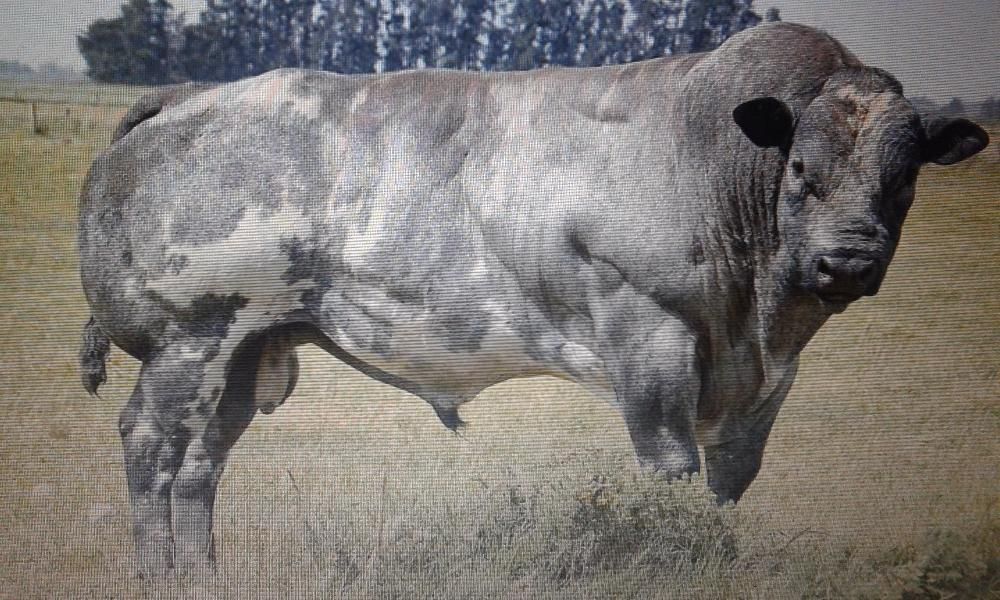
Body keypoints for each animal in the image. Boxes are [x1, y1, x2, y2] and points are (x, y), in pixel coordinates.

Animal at [76, 23, 984, 576]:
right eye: (800, 169)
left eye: (904, 180)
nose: (848, 260)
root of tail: (190, 96)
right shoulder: (649, 339)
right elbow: (671, 469)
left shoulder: (767, 378)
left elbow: (731, 476)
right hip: (190, 336)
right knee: (149, 446)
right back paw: (159, 576)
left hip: (242, 349)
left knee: (200, 465)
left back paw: (202, 576)